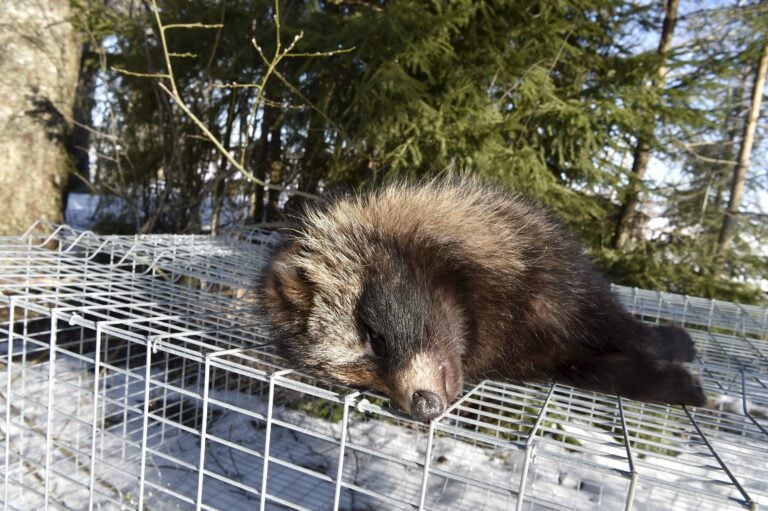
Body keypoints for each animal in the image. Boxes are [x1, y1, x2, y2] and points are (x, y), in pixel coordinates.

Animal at [260, 178, 708, 422]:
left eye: (375, 338)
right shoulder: (533, 357)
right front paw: (663, 381)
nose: (422, 409)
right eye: (363, 383)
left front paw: (666, 347)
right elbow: (588, 369)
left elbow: (613, 323)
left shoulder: (551, 274)